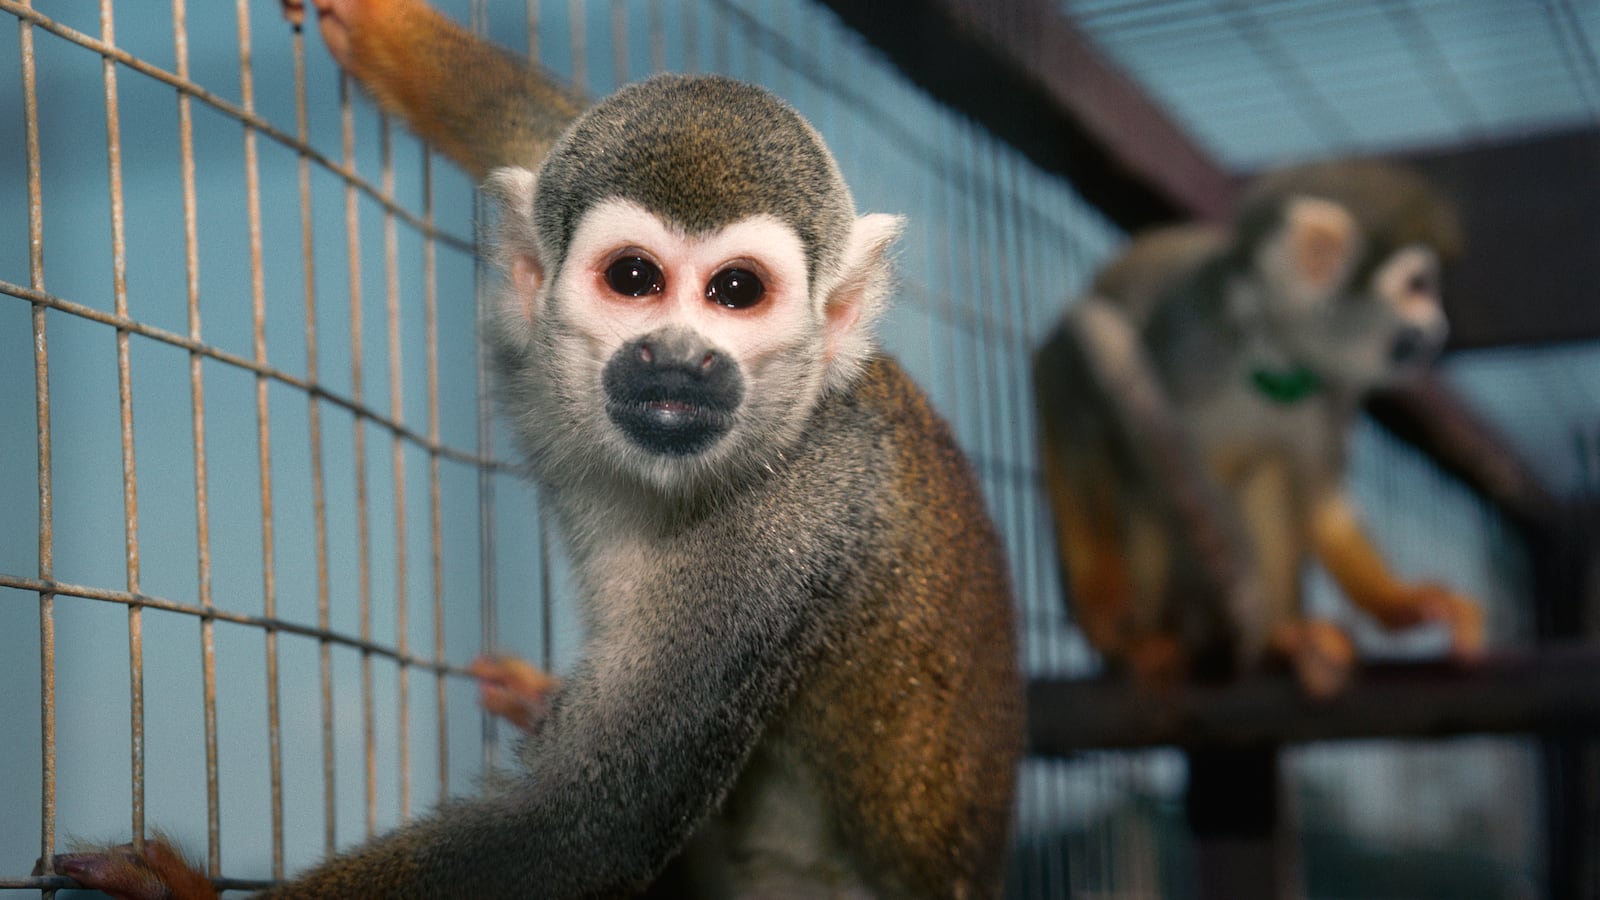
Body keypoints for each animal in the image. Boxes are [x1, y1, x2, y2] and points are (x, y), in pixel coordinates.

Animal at [43, 1, 1024, 897]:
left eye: (737, 292)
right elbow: (546, 124)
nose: (679, 358)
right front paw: (383, 29)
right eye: (635, 278)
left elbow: (577, 828)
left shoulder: (791, 535)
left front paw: (178, 892)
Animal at [1033, 159, 1483, 697]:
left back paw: (1281, 639)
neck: (1274, 358)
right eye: (1417, 286)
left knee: (1269, 468)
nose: (1438, 327)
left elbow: (1322, 503)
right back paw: (1157, 636)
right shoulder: (1185, 336)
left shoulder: (1332, 394)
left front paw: (1404, 602)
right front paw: (1101, 595)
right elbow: (1071, 382)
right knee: (1133, 466)